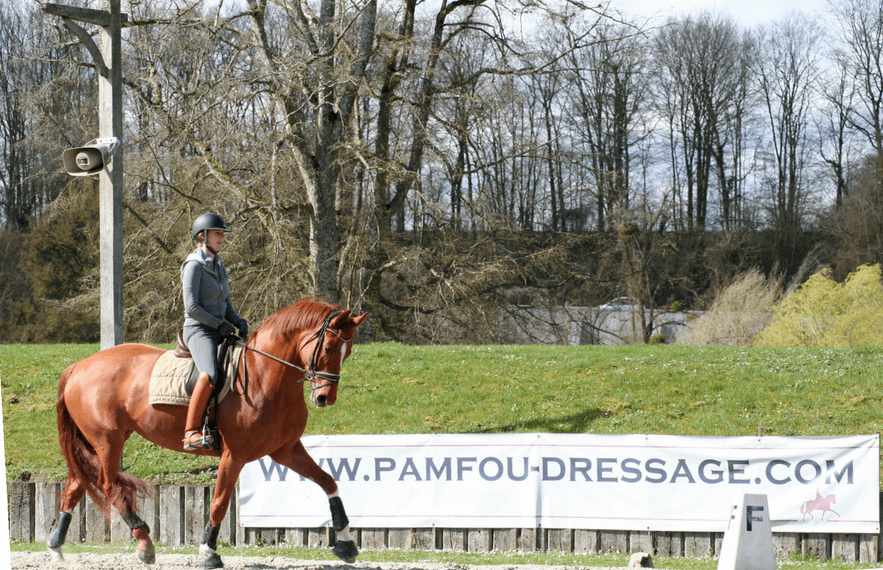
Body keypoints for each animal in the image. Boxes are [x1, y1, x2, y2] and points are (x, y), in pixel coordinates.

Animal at [46, 298, 368, 568]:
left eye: (348, 352)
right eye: (328, 349)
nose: (324, 398)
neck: (266, 377)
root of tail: (78, 367)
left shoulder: (286, 450)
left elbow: (328, 481)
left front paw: (345, 544)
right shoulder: (234, 455)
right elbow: (220, 501)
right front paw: (209, 552)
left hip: (98, 440)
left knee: (77, 483)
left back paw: (56, 546)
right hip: (107, 440)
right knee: (107, 484)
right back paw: (144, 542)